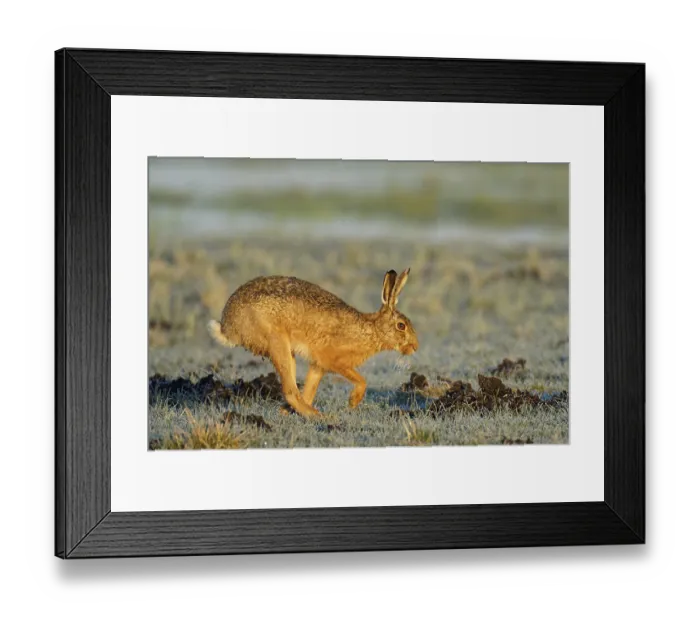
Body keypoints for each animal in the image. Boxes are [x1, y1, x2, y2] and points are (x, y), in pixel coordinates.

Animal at [208, 268, 418, 418]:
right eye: (401, 326)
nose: (415, 346)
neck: (372, 330)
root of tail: (228, 327)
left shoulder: (318, 365)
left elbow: (310, 390)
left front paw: (287, 411)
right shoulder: (335, 361)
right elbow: (362, 381)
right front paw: (353, 402)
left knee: (296, 392)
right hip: (277, 342)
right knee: (290, 391)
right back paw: (321, 417)